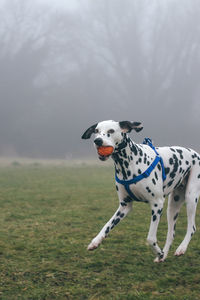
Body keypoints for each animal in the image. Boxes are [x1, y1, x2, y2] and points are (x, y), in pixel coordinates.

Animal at [81, 120, 200, 262]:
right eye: (96, 131)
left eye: (111, 131)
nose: (98, 141)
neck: (128, 163)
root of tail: (196, 153)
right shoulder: (124, 206)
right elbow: (107, 225)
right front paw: (95, 241)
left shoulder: (157, 204)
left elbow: (150, 238)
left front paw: (158, 252)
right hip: (173, 205)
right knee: (171, 233)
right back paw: (163, 255)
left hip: (190, 198)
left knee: (192, 227)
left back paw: (180, 249)